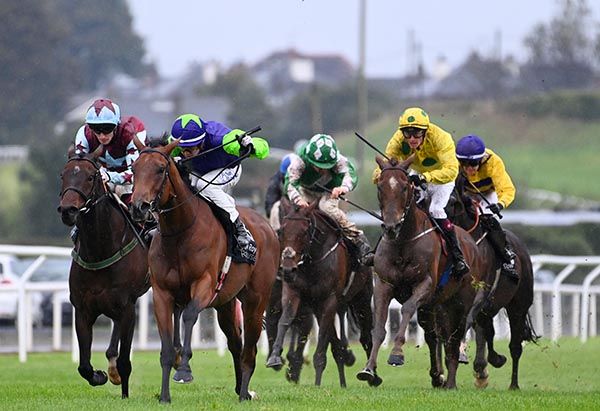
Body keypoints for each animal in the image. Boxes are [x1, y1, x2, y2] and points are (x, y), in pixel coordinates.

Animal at [56, 148, 149, 400]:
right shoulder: (82, 309)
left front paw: (125, 395)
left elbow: (126, 361)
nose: (68, 210)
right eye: (63, 175)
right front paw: (100, 375)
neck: (100, 251)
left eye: (90, 177)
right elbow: (83, 366)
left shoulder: (128, 308)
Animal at [129, 138, 278, 402]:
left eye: (160, 169)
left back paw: (244, 393)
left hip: (256, 300)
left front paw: (184, 371)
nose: (139, 207)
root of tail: (268, 227)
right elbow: (167, 348)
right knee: (236, 343)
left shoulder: (204, 284)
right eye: (134, 168)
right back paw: (240, 389)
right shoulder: (162, 294)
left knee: (249, 349)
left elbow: (189, 315)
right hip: (226, 303)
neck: (180, 233)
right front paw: (165, 396)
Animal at [264, 201, 372, 388]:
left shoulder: (330, 300)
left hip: (362, 297)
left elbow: (321, 339)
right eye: (282, 231)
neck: (313, 261)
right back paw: (343, 379)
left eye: (304, 231)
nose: (287, 268)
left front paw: (317, 382)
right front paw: (275, 357)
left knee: (366, 337)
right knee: (336, 342)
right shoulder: (293, 292)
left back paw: (370, 374)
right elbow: (285, 320)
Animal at [356, 156, 482, 392]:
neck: (403, 242)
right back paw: (438, 376)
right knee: (435, 336)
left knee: (454, 337)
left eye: (405, 187)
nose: (391, 227)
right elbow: (379, 328)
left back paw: (450, 381)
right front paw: (369, 369)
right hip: (435, 306)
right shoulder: (384, 285)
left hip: (460, 302)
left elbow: (406, 308)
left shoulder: (425, 285)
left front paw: (396, 354)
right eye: (380, 186)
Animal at [446, 177, 540, 390]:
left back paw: (513, 383)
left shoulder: (479, 294)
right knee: (487, 331)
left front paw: (461, 352)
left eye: (454, 201)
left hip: (518, 305)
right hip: (491, 307)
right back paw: (486, 366)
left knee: (514, 346)